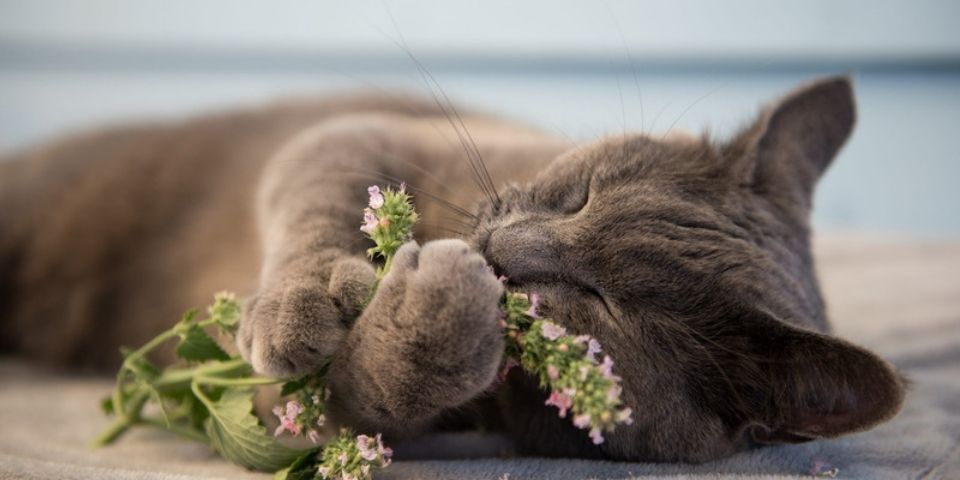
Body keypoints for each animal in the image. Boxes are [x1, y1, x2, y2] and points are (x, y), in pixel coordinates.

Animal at [0, 76, 904, 462]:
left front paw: (429, 322)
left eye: (601, 305)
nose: (502, 255)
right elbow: (317, 192)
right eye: (582, 193)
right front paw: (306, 302)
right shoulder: (363, 135)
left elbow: (338, 406)